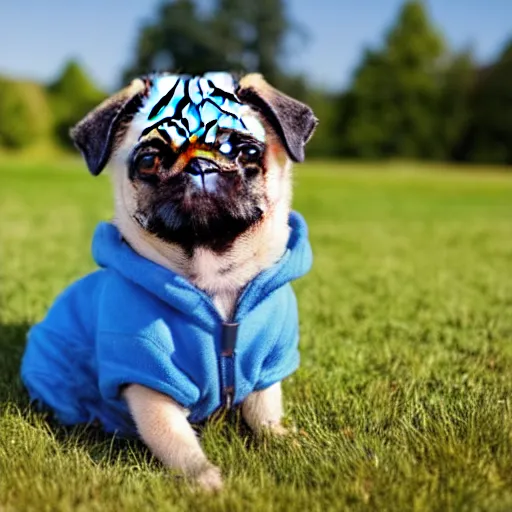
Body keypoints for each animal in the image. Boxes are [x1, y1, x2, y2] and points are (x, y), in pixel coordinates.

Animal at [23, 70, 316, 490]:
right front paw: (204, 478)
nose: (201, 167)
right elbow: (174, 439)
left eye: (246, 153)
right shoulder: (149, 383)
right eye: (149, 160)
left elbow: (265, 412)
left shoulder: (267, 367)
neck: (215, 281)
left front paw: (284, 443)